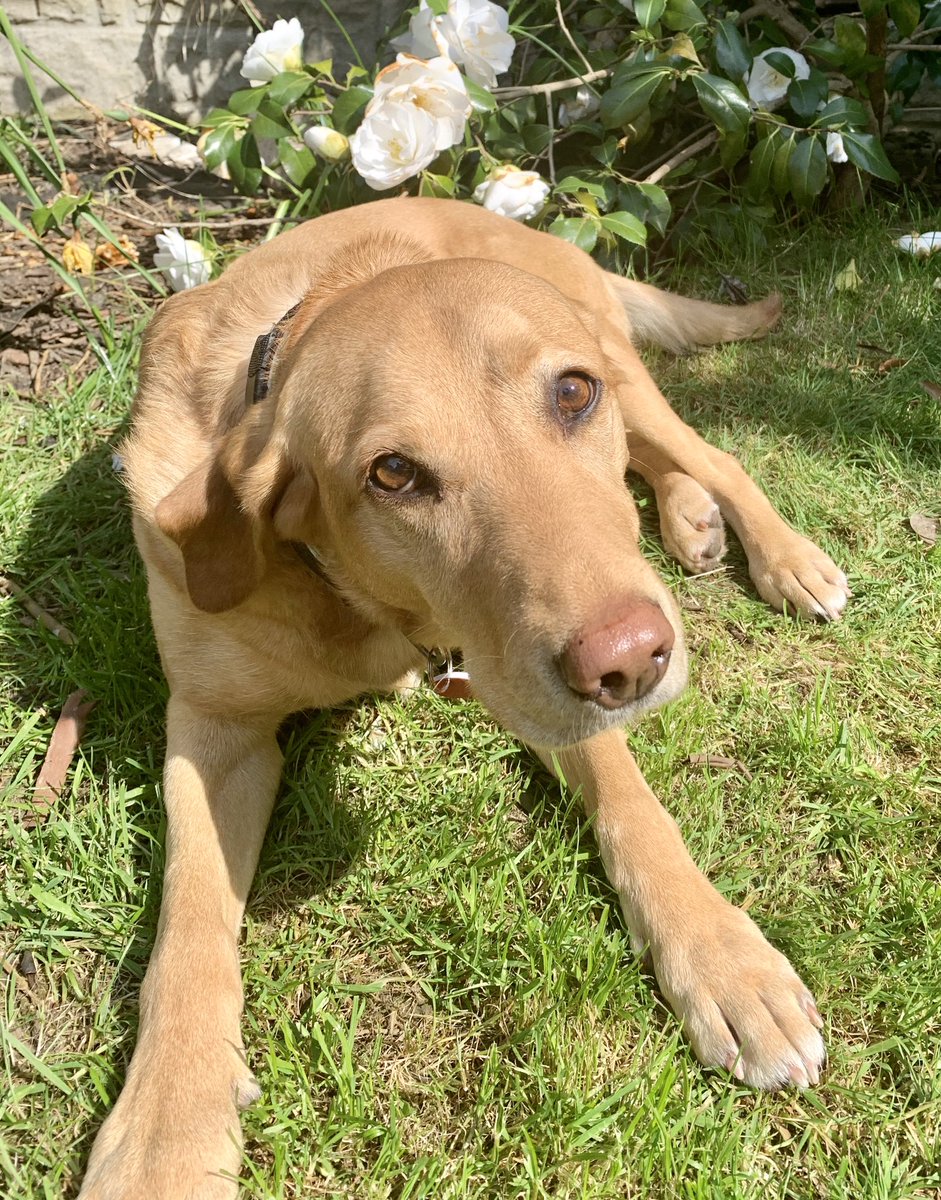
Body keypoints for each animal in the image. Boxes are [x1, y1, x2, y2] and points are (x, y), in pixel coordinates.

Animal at [77, 199, 849, 1200]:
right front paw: (167, 1127)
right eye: (393, 473)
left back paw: (778, 553)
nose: (631, 661)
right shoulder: (216, 730)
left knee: (707, 452)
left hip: (630, 376)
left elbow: (634, 806)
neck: (365, 609)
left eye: (570, 395)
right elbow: (190, 923)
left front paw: (725, 962)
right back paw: (687, 520)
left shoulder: (549, 683)